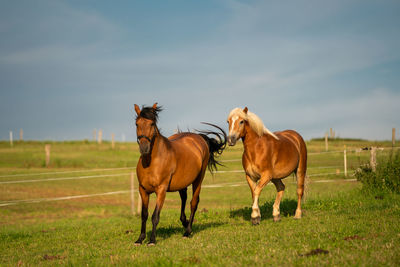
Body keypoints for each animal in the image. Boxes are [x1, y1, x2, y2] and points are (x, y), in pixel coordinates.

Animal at [134, 103, 227, 246]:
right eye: (137, 124)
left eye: (152, 123)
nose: (144, 148)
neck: (151, 162)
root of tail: (199, 137)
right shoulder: (143, 190)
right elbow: (144, 215)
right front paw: (140, 239)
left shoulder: (161, 190)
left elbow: (155, 216)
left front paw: (152, 240)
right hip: (182, 183)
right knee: (184, 198)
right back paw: (184, 222)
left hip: (198, 179)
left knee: (193, 202)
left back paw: (187, 231)